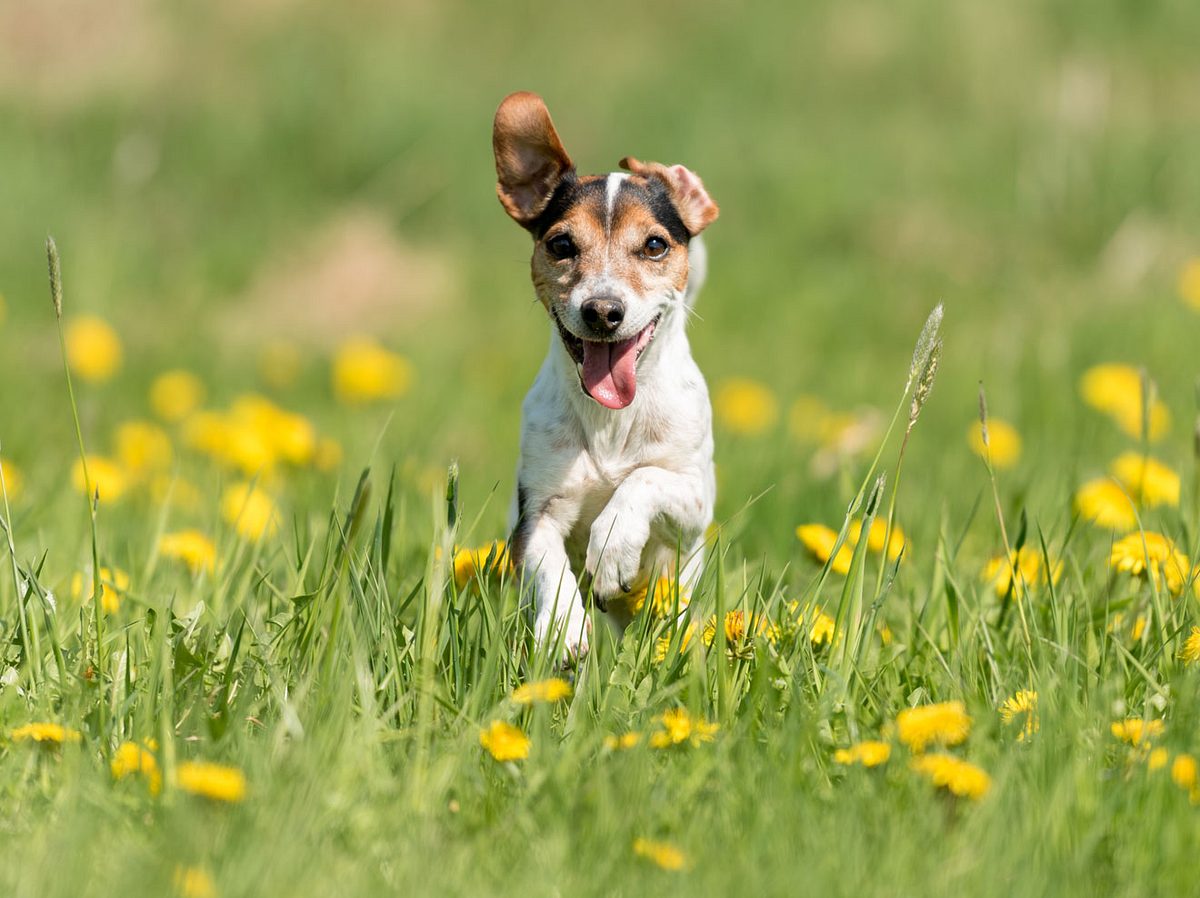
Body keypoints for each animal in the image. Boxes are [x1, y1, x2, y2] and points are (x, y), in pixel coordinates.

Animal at [492, 94, 715, 662]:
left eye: (655, 245)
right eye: (561, 244)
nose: (602, 311)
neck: (611, 419)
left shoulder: (693, 500)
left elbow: (643, 480)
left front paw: (613, 544)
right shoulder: (536, 514)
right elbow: (550, 566)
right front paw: (564, 626)